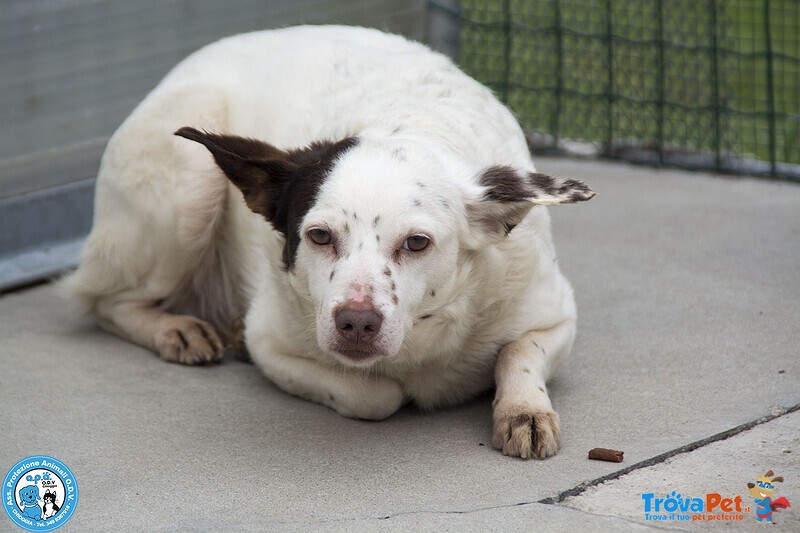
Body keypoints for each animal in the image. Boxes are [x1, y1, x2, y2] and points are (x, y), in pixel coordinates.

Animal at [64, 25, 592, 458]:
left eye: (417, 243)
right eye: (319, 236)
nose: (356, 322)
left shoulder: (556, 315)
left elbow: (519, 352)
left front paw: (523, 410)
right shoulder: (271, 343)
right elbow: (376, 395)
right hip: (188, 188)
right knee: (104, 301)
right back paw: (175, 329)